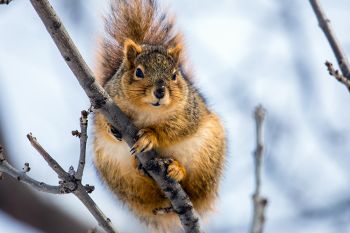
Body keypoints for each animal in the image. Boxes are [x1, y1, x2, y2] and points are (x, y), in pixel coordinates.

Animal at [92, 0, 227, 231]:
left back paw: (177, 170)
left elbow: (173, 130)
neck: (147, 111)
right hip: (116, 173)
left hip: (206, 157)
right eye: (138, 72)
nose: (160, 92)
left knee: (194, 190)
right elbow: (101, 123)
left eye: (174, 75)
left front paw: (150, 136)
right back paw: (143, 172)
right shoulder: (104, 102)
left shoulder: (187, 114)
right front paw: (111, 129)